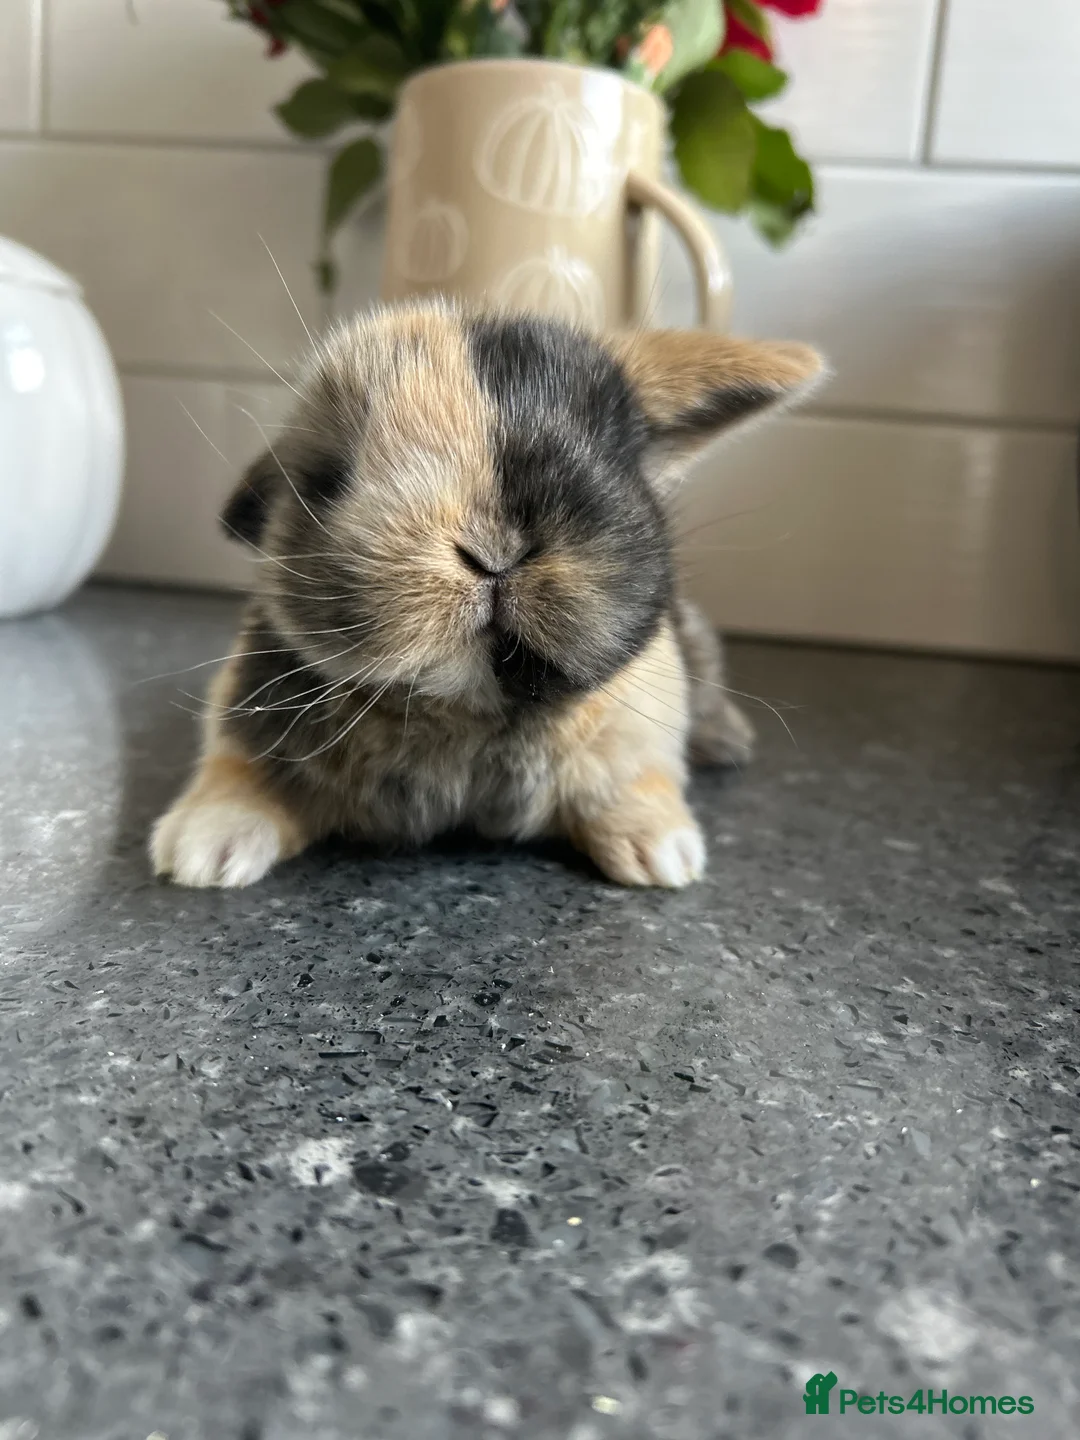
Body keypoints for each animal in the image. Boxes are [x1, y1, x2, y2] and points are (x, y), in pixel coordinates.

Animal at [151, 303, 823, 890]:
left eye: (612, 455)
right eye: (328, 478)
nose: (492, 551)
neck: (465, 709)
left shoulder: (640, 729)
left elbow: (634, 785)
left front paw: (663, 856)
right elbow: (237, 774)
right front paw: (200, 851)